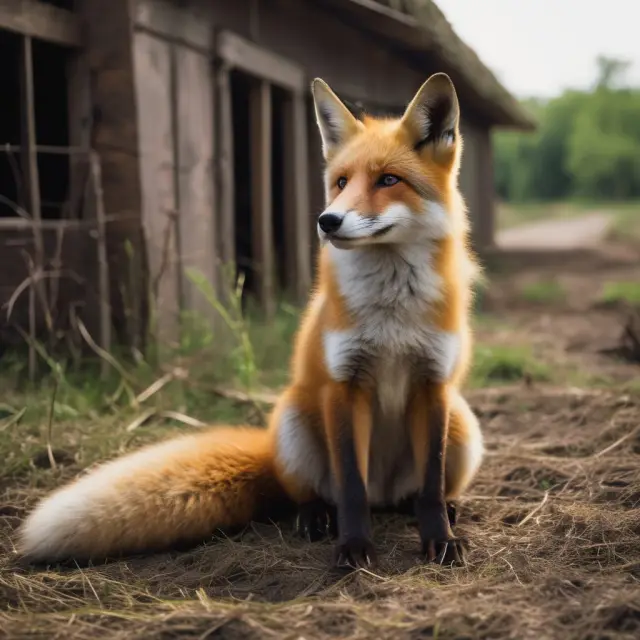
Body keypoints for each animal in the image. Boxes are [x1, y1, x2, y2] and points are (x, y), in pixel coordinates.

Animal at [18, 72, 483, 569]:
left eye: (389, 180)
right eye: (340, 182)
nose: (327, 220)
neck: (392, 313)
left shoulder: (432, 383)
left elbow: (430, 488)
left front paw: (441, 538)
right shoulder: (343, 385)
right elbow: (351, 489)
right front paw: (354, 546)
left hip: (461, 423)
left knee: (417, 493)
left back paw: (437, 508)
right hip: (295, 420)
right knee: (324, 494)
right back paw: (315, 517)